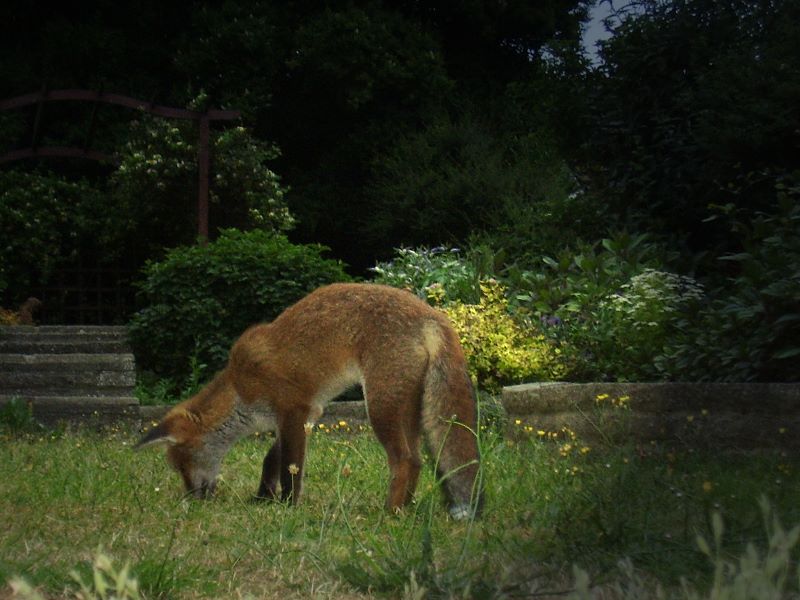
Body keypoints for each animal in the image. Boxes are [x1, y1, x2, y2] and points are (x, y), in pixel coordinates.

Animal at [137, 284, 482, 516]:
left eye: (183, 465)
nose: (191, 501)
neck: (240, 387)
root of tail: (433, 314)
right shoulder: (304, 417)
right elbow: (271, 460)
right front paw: (262, 498)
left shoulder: (293, 410)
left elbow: (290, 468)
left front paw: (288, 506)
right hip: (406, 410)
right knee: (419, 460)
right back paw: (404, 509)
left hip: (380, 408)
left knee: (405, 459)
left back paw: (388, 512)